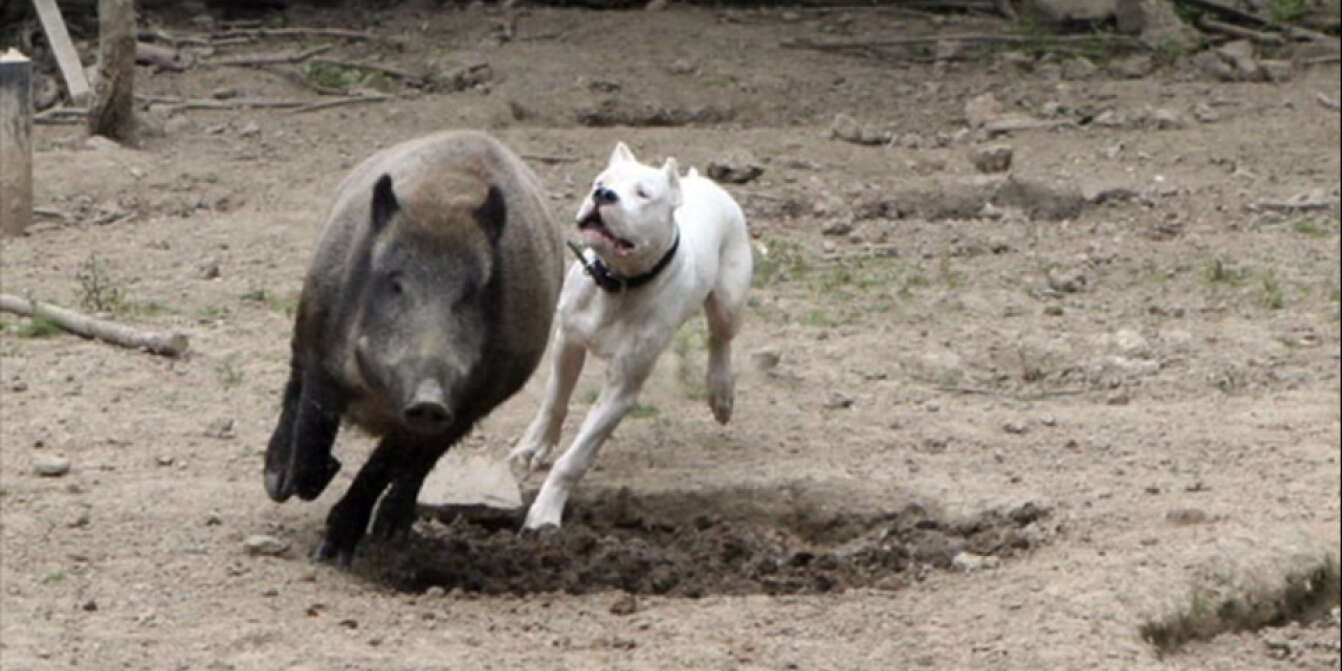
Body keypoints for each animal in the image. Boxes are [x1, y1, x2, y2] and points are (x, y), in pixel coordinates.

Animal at [504, 141, 751, 528]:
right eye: (600, 182)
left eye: (643, 193)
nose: (603, 195)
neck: (616, 282)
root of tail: (702, 181)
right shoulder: (568, 341)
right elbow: (554, 400)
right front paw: (534, 447)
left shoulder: (621, 389)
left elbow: (576, 458)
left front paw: (545, 511)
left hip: (729, 296)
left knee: (720, 338)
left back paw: (720, 390)